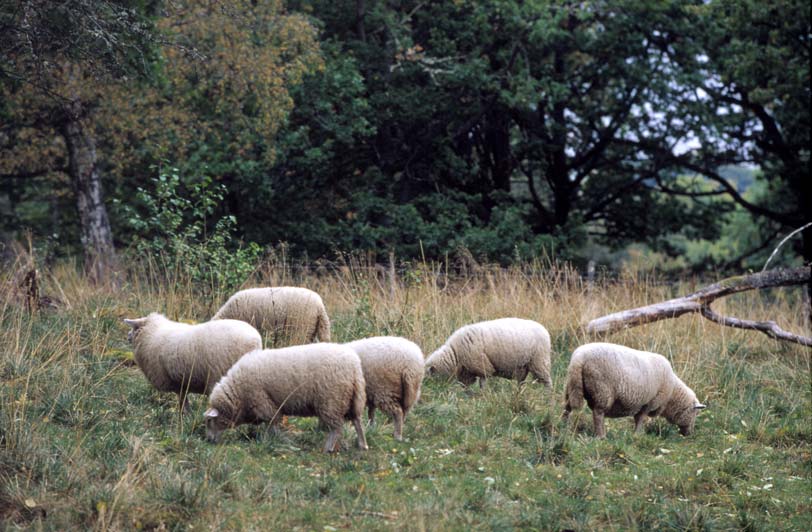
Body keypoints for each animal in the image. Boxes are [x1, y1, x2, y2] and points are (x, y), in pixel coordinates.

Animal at [122, 312, 262, 412]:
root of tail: (255, 340)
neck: (152, 334)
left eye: (134, 328)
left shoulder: (175, 381)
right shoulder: (182, 381)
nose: (127, 336)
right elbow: (184, 399)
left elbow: (182, 401)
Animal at [203, 342, 368, 450]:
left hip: (332, 400)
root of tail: (354, 366)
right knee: (357, 422)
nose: (209, 440)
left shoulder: (263, 402)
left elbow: (272, 424)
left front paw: (273, 440)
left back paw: (328, 448)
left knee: (337, 428)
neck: (238, 394)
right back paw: (363, 445)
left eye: (210, 421)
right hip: (353, 398)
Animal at [560, 342, 708, 438]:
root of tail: (579, 358)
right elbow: (640, 419)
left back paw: (563, 426)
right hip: (602, 390)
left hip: (571, 386)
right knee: (598, 413)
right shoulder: (649, 403)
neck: (672, 394)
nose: (689, 434)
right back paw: (601, 436)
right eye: (695, 413)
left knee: (567, 408)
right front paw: (637, 435)